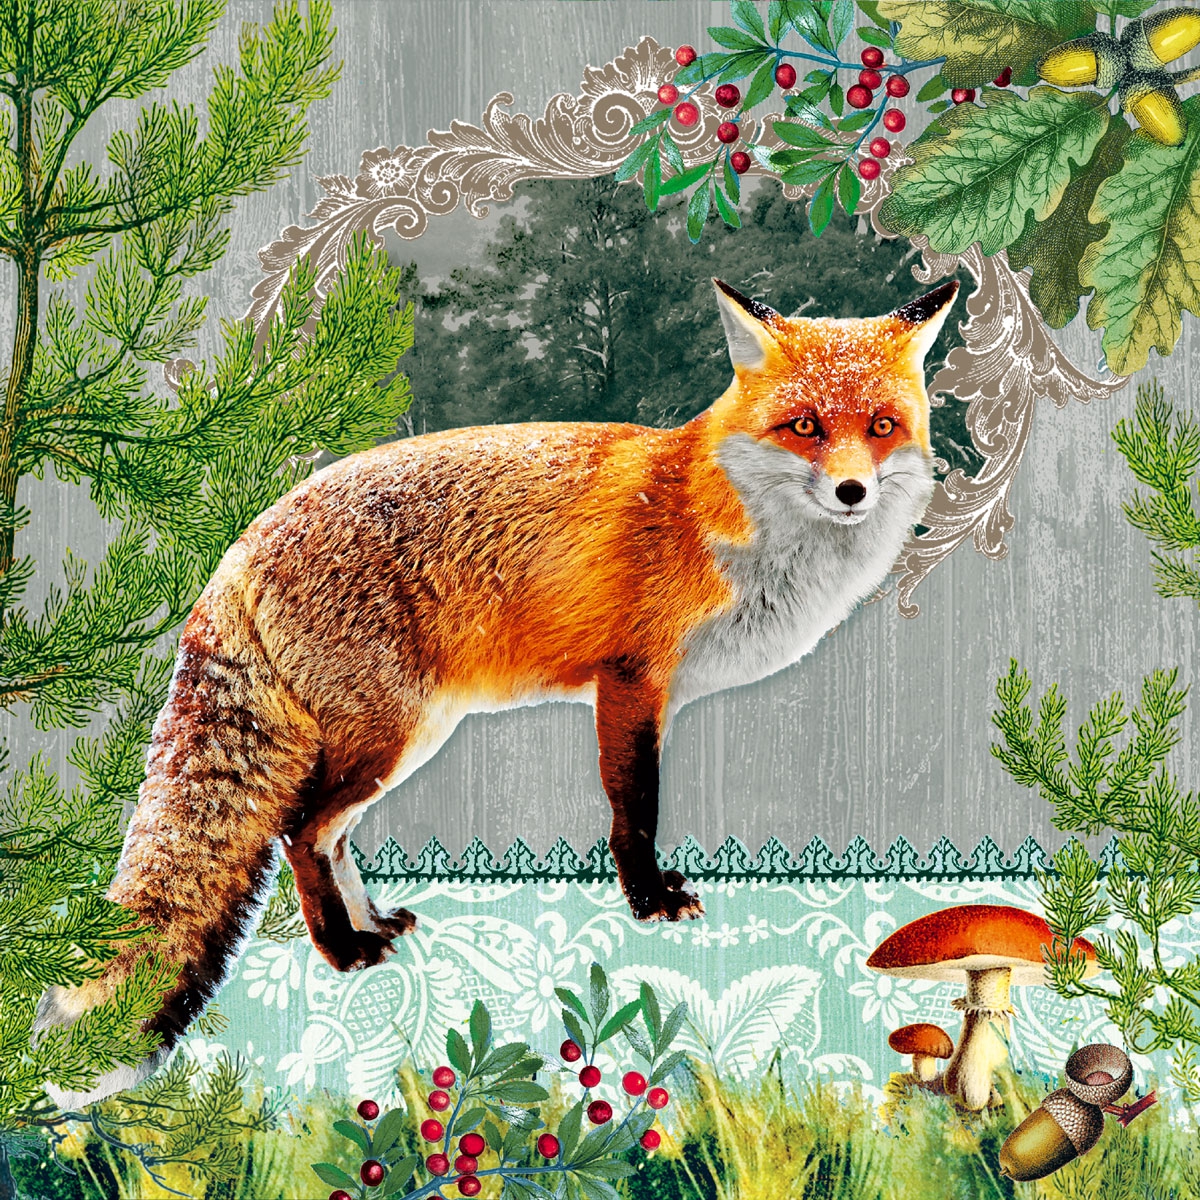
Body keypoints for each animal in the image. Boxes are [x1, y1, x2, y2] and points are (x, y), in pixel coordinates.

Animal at [36, 277, 957, 1106]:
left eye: (881, 427)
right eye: (805, 427)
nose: (853, 491)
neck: (726, 521)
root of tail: (242, 543)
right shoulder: (631, 683)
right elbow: (635, 810)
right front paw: (650, 903)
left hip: (404, 740)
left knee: (332, 838)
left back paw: (373, 925)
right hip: (390, 737)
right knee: (300, 833)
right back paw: (342, 953)